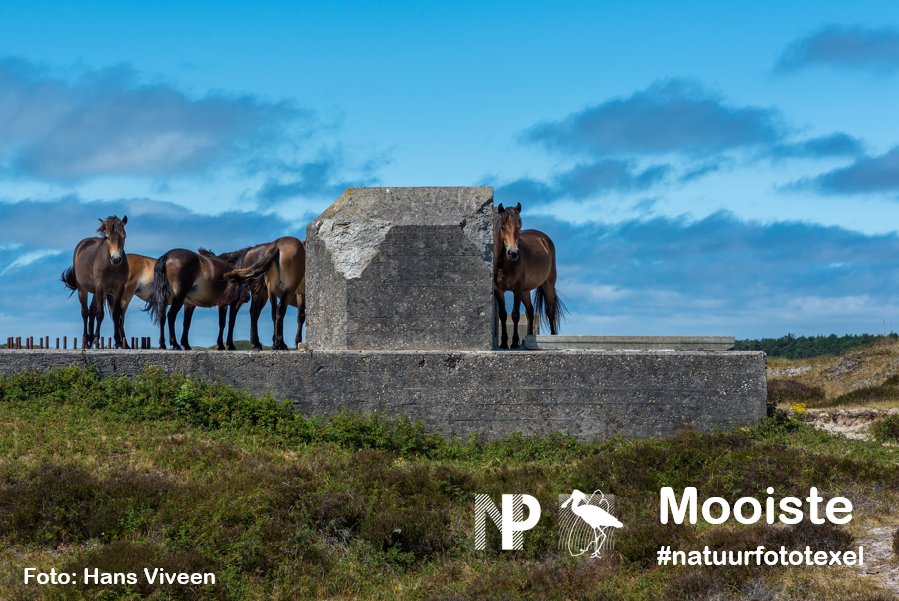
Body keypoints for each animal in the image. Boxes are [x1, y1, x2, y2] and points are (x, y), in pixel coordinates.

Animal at [60, 216, 130, 349]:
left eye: (124, 236)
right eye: (107, 237)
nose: (116, 259)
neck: (112, 267)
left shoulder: (119, 289)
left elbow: (115, 314)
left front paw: (118, 342)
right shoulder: (100, 287)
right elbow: (99, 314)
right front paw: (97, 341)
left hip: (95, 292)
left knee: (91, 312)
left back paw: (90, 340)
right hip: (83, 290)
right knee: (85, 312)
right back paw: (85, 340)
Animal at [493, 202, 565, 349]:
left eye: (519, 226)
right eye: (502, 227)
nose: (513, 253)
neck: (505, 263)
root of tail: (544, 239)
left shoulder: (517, 289)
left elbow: (515, 314)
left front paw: (514, 342)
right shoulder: (499, 290)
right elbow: (503, 315)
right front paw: (503, 342)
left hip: (548, 284)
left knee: (550, 310)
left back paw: (553, 336)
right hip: (525, 291)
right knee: (530, 312)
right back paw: (529, 337)